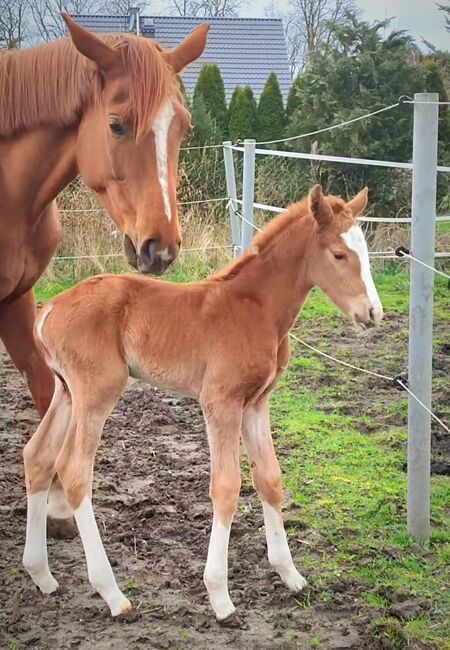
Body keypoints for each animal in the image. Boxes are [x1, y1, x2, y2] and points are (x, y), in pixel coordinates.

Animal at [22, 186, 384, 616]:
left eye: (365, 250)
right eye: (339, 254)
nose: (373, 313)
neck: (255, 307)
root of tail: (49, 310)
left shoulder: (256, 402)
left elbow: (269, 478)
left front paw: (289, 574)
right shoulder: (220, 401)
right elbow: (226, 487)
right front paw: (219, 595)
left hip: (65, 391)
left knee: (38, 455)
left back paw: (41, 575)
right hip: (96, 392)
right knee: (74, 469)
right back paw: (112, 593)